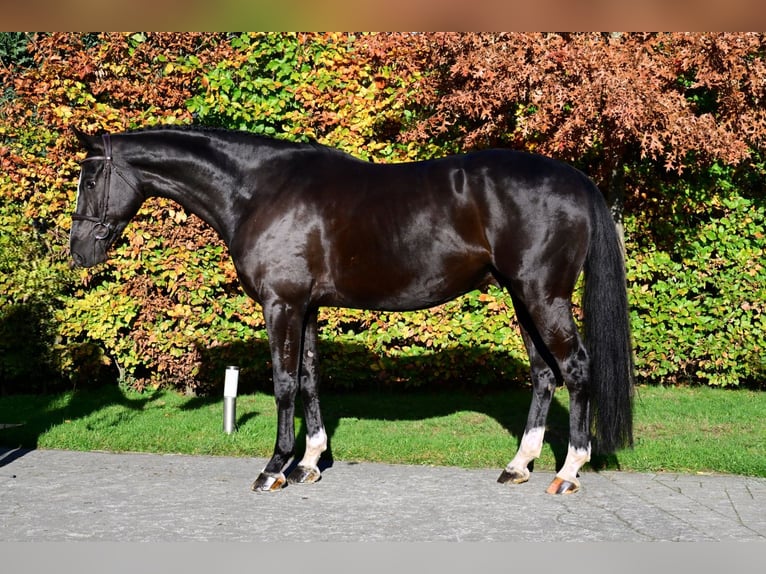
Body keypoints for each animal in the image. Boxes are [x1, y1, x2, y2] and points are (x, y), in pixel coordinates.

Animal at [69, 126, 633, 495]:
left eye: (90, 181)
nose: (79, 251)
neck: (258, 190)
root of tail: (577, 180)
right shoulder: (307, 307)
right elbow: (310, 379)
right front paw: (309, 464)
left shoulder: (282, 305)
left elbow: (284, 383)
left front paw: (274, 468)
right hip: (523, 297)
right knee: (544, 373)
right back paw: (519, 465)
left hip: (542, 296)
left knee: (575, 369)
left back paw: (567, 471)